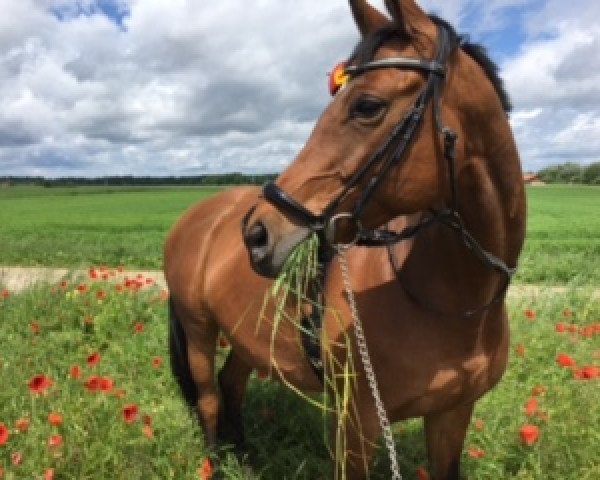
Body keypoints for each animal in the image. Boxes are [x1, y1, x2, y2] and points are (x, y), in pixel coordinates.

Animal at [165, 0, 524, 480]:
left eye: (367, 106)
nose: (256, 233)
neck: (448, 301)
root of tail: (197, 218)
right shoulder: (357, 426)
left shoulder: (452, 414)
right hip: (198, 330)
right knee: (208, 399)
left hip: (245, 337)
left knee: (231, 384)